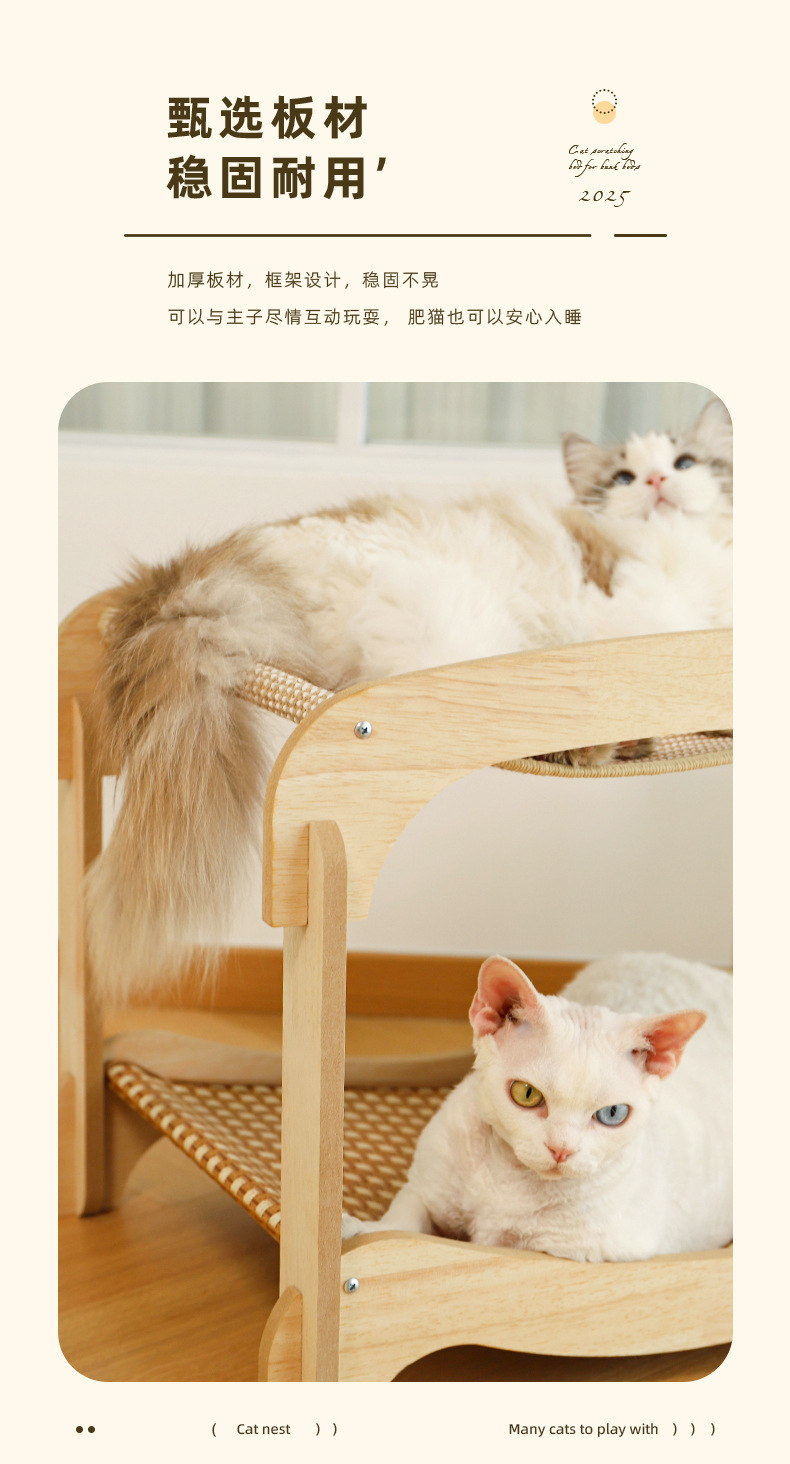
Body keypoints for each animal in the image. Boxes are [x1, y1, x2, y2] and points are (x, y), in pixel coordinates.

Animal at [84, 398, 732, 1000]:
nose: (657, 481)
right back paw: (600, 746)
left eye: (685, 463)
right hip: (469, 636)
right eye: (624, 477)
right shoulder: (634, 613)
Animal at [341, 952, 733, 1263]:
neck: (512, 1180)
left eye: (612, 1114)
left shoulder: (576, 1251)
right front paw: (359, 1228)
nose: (561, 1150)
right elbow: (400, 1227)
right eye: (527, 1094)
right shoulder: (424, 1190)